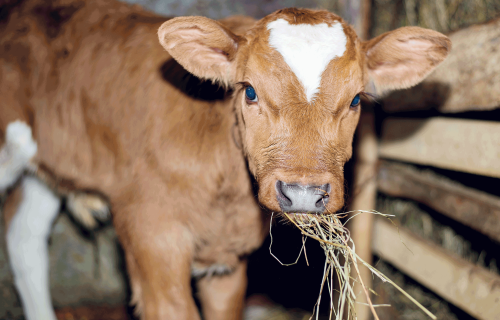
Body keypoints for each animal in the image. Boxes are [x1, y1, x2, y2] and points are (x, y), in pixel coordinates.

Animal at [0, 0, 452, 318]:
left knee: (24, 238)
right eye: (249, 91)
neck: (225, 195)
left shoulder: (228, 259)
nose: (304, 193)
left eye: (357, 99)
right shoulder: (151, 231)